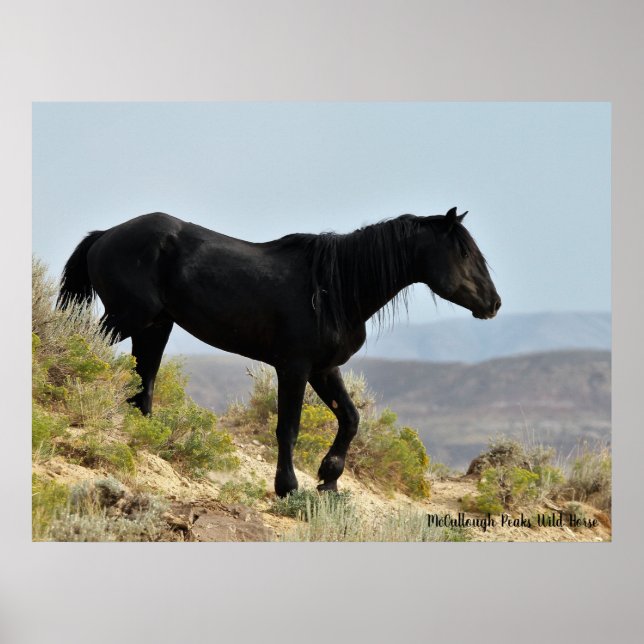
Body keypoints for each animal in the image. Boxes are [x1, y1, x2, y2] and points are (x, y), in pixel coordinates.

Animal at [58, 206, 501, 496]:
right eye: (463, 253)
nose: (493, 304)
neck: (335, 288)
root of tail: (104, 235)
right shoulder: (294, 368)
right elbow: (288, 428)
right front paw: (288, 486)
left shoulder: (324, 369)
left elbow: (351, 419)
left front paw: (329, 478)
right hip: (126, 318)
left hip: (154, 326)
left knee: (143, 383)